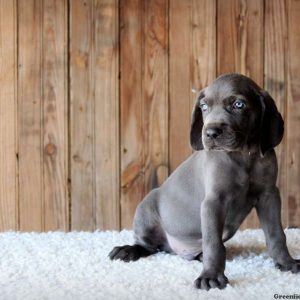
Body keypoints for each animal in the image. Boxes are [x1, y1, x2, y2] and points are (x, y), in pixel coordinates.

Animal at [109, 73, 300, 290]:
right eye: (204, 106)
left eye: (238, 104)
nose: (210, 133)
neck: (243, 155)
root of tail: (174, 249)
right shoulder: (213, 201)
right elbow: (213, 243)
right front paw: (210, 276)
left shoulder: (269, 195)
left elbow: (277, 234)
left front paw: (286, 263)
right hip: (145, 208)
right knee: (148, 246)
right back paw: (128, 250)